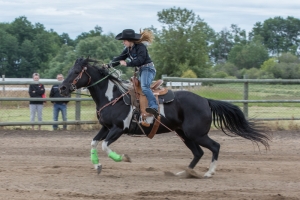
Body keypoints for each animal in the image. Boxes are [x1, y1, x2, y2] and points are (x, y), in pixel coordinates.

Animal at [59, 58, 270, 178]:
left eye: (76, 72)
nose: (62, 88)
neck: (112, 96)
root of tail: (205, 100)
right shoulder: (105, 127)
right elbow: (94, 143)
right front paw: (97, 166)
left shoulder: (118, 129)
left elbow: (104, 145)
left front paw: (123, 158)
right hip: (184, 134)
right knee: (198, 153)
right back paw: (184, 173)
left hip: (196, 134)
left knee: (215, 147)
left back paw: (209, 173)